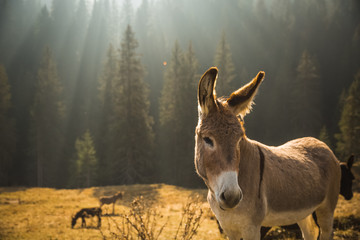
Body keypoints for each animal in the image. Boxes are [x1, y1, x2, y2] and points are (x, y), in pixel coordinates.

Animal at [194, 67, 340, 240]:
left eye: (239, 140)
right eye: (207, 139)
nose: (232, 197)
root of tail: (320, 143)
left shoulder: (252, 227)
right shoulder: (229, 228)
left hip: (327, 209)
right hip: (302, 212)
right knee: (310, 232)